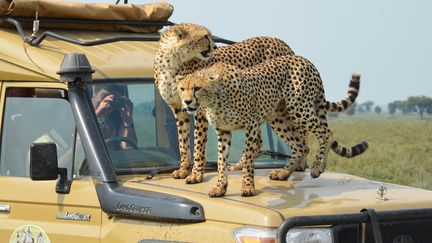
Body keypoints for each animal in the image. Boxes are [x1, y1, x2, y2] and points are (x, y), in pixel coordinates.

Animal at [154, 23, 296, 182]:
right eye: (205, 36)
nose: (215, 47)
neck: (173, 60)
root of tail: (280, 41)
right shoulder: (179, 108)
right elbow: (182, 141)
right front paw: (183, 169)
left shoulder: (200, 109)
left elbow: (198, 143)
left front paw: (196, 173)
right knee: (259, 140)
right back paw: (241, 165)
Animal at [176, 57, 368, 197]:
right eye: (182, 89)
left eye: (197, 88)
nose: (187, 102)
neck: (214, 98)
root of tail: (304, 59)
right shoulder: (223, 131)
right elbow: (222, 161)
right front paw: (221, 187)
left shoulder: (252, 124)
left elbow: (248, 159)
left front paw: (248, 187)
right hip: (278, 118)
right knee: (300, 145)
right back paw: (284, 173)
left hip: (300, 108)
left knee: (326, 133)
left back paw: (316, 168)